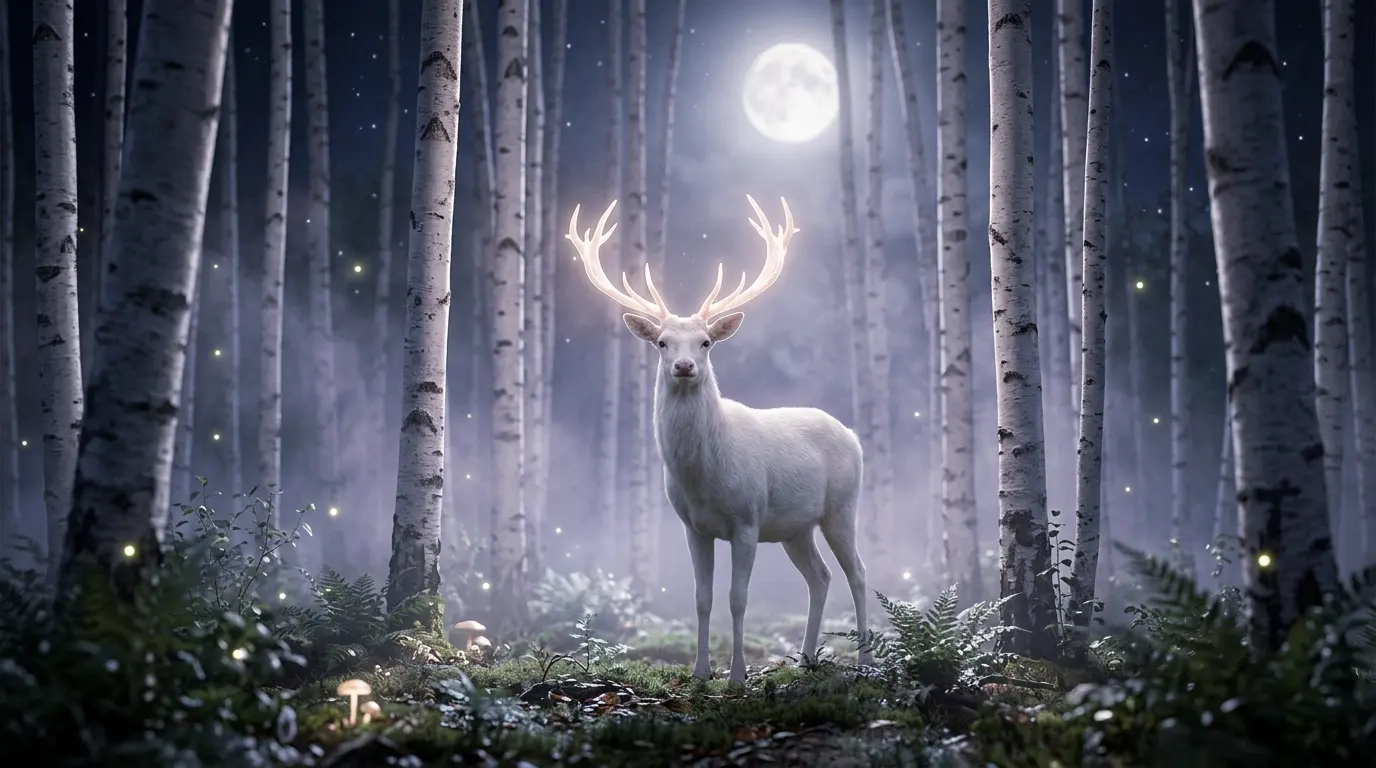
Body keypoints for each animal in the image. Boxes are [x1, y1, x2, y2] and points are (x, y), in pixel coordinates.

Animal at [565, 195, 871, 683]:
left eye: (706, 342)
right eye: (662, 343)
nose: (684, 366)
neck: (703, 478)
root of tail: (854, 436)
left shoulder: (747, 519)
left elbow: (737, 599)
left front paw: (738, 675)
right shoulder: (693, 526)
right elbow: (702, 599)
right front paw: (700, 672)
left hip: (841, 507)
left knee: (857, 573)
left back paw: (864, 662)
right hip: (794, 527)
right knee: (820, 577)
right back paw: (806, 660)